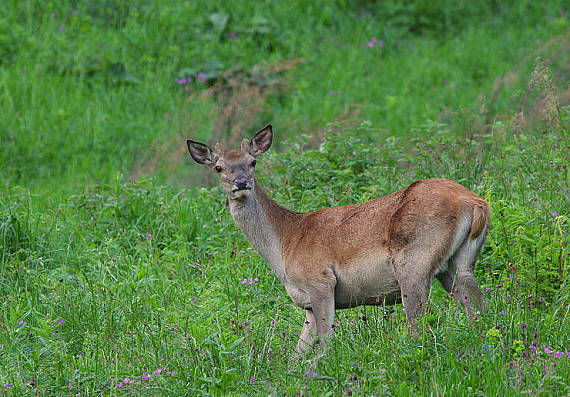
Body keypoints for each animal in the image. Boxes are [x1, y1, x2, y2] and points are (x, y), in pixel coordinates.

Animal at [186, 124, 488, 352]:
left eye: (253, 162)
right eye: (219, 168)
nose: (241, 183)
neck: (285, 245)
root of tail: (475, 204)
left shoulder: (320, 281)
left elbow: (325, 344)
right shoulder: (306, 303)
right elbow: (297, 354)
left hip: (414, 261)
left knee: (421, 324)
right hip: (459, 264)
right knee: (479, 309)